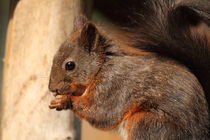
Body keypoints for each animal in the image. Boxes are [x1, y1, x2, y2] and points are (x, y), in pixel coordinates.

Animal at [48, 0, 210, 139]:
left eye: (70, 65)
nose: (52, 89)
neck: (103, 66)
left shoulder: (113, 87)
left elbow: (99, 112)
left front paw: (64, 100)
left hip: (147, 122)